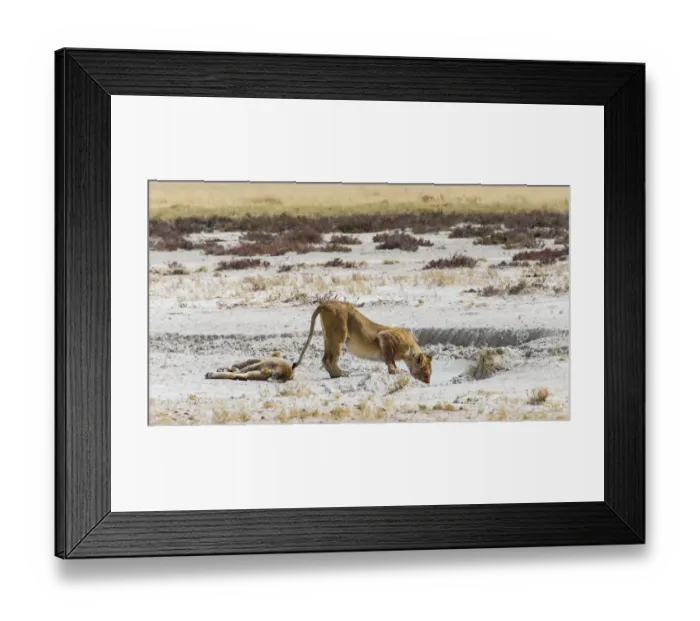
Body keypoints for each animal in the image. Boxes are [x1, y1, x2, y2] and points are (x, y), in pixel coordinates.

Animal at [293, 301, 432, 383]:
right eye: (426, 373)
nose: (427, 383)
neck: (410, 351)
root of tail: (325, 303)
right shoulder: (384, 336)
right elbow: (390, 359)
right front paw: (395, 371)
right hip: (338, 337)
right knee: (329, 359)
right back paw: (342, 374)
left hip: (328, 337)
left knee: (325, 358)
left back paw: (335, 374)